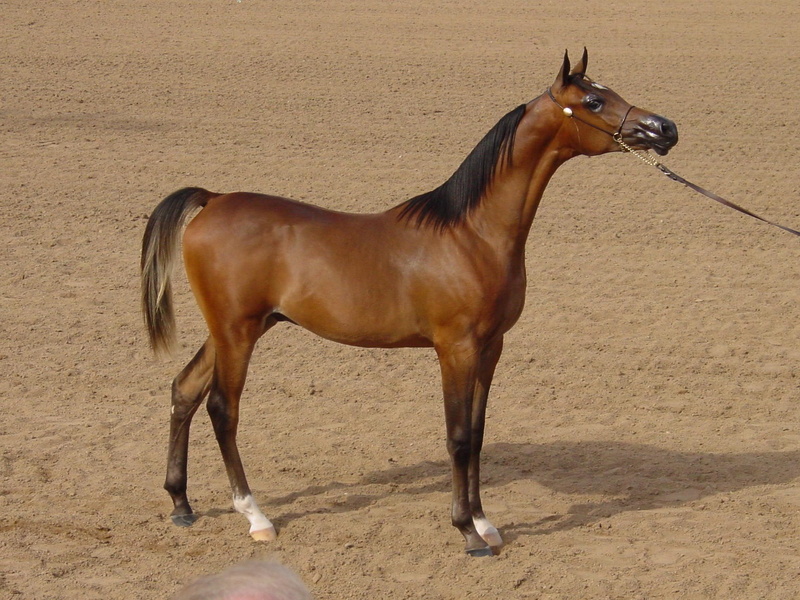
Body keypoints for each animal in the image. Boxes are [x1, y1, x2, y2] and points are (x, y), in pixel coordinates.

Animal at [141, 49, 678, 557]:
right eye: (593, 100)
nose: (664, 128)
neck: (471, 235)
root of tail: (213, 199)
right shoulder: (455, 349)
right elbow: (458, 437)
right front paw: (467, 532)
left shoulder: (491, 348)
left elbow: (477, 434)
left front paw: (486, 523)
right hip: (238, 331)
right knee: (222, 409)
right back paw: (256, 517)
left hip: (237, 329)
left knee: (184, 390)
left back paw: (182, 504)